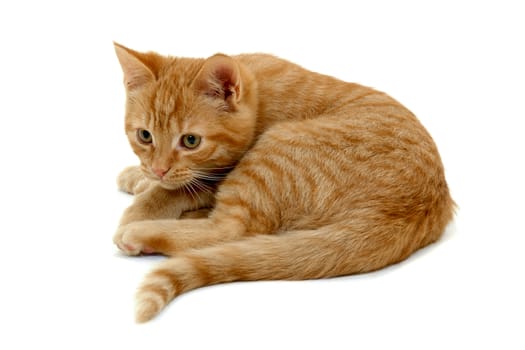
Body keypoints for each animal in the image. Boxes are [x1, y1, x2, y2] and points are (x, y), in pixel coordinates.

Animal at [112, 43, 452, 322]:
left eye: (191, 141)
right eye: (145, 136)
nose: (158, 170)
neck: (257, 91)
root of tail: (410, 211)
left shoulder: (224, 169)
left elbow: (180, 188)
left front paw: (142, 207)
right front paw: (137, 176)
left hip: (274, 148)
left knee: (230, 229)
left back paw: (142, 232)